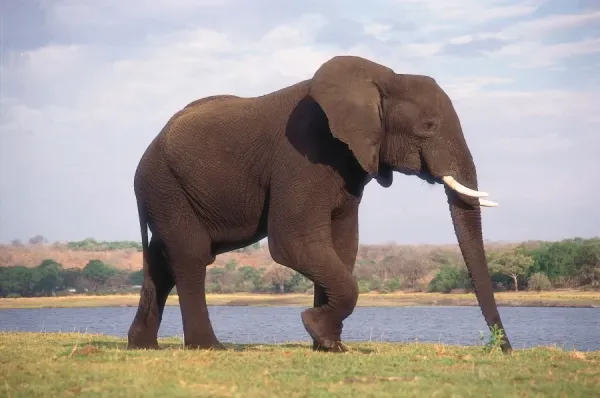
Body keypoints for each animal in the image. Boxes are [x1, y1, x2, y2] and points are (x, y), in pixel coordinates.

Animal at [125, 54, 510, 352]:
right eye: (428, 126)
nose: (502, 348)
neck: (380, 80)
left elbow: (342, 245)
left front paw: (329, 345)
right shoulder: (302, 154)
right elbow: (294, 244)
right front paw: (316, 328)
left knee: (163, 258)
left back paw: (142, 346)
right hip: (164, 184)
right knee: (191, 254)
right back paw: (210, 347)